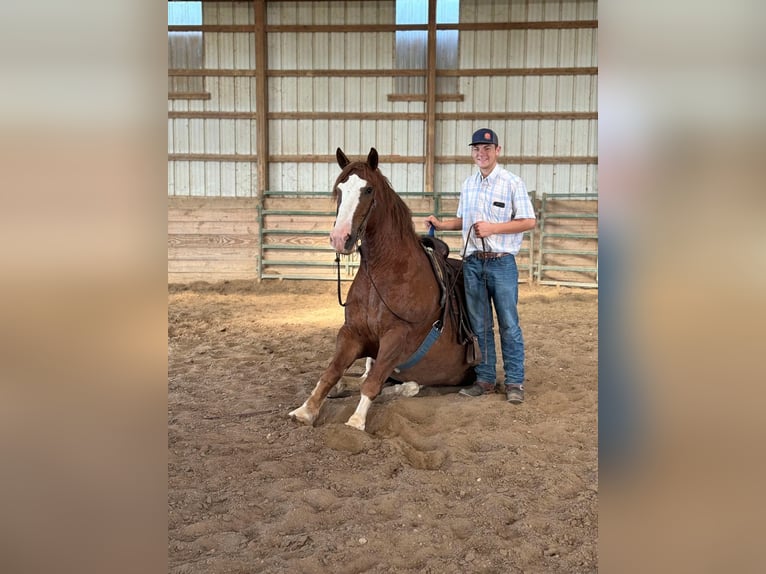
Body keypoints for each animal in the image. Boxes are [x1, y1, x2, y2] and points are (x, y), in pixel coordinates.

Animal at [288, 147, 476, 432]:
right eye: (340, 189)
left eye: (368, 190)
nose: (340, 238)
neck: (384, 272)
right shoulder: (351, 333)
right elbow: (332, 372)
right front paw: (306, 410)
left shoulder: (396, 336)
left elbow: (373, 382)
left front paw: (356, 421)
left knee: (400, 383)